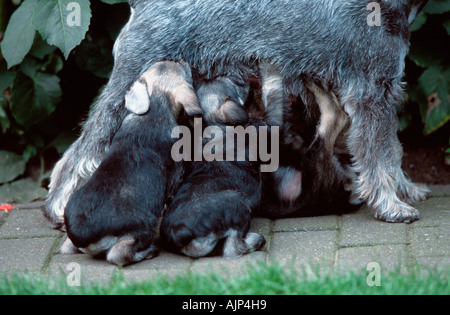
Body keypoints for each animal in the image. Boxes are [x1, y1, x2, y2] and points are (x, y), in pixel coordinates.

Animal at [44, 0, 430, 227]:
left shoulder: (385, 92)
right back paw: (58, 207)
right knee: (81, 151)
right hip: (128, 87)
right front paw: (392, 205)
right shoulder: (372, 93)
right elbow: (377, 156)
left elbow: (392, 151)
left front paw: (406, 189)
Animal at [61, 61, 199, 266]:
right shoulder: (175, 177)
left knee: (67, 247)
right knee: (118, 254)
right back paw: (148, 251)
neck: (154, 110)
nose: (181, 60)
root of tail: (83, 235)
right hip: (142, 228)